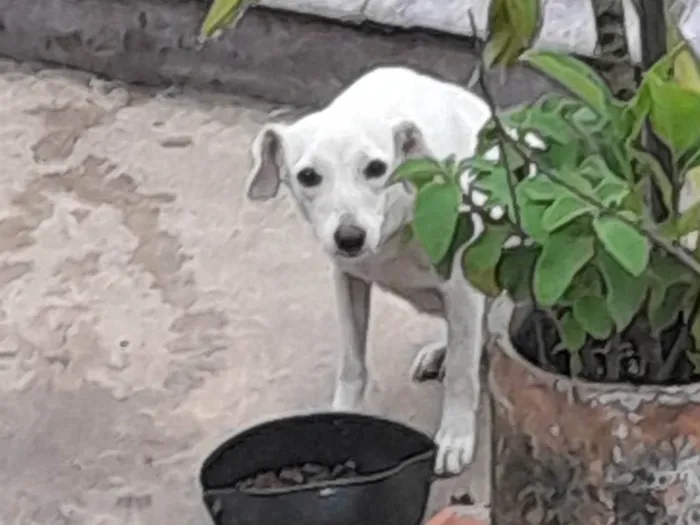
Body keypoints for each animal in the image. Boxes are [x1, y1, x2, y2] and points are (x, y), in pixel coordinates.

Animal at [246, 66, 492, 474]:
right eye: (308, 176)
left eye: (376, 169)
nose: (349, 237)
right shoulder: (348, 280)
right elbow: (352, 362)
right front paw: (342, 415)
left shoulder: (463, 290)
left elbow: (462, 374)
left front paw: (456, 437)